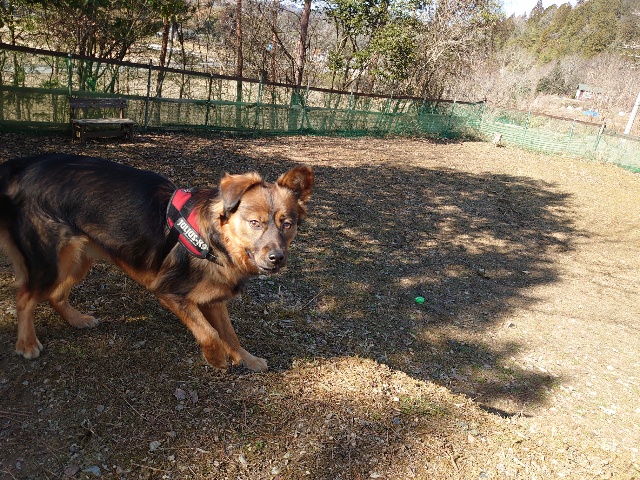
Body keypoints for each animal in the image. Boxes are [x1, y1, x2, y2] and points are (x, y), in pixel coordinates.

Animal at [0, 153, 313, 372]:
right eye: (254, 223)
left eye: (287, 224)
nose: (277, 258)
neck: (214, 239)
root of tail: (22, 167)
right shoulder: (169, 293)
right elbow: (210, 333)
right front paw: (216, 359)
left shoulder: (213, 299)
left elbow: (229, 333)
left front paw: (246, 359)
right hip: (51, 261)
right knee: (25, 296)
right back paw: (26, 343)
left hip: (78, 258)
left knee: (55, 295)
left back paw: (77, 320)